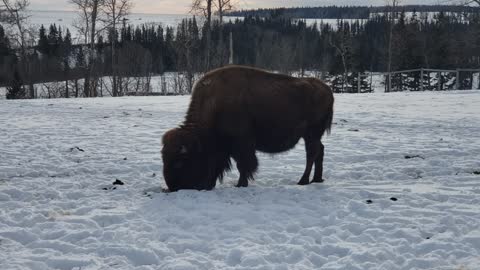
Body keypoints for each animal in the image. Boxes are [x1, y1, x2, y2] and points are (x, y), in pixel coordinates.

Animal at [161, 66, 334, 192]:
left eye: (179, 162)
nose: (173, 187)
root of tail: (327, 89)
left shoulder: (241, 144)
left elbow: (243, 164)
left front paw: (240, 184)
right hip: (312, 135)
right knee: (319, 150)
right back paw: (317, 179)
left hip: (311, 134)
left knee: (311, 154)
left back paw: (303, 181)